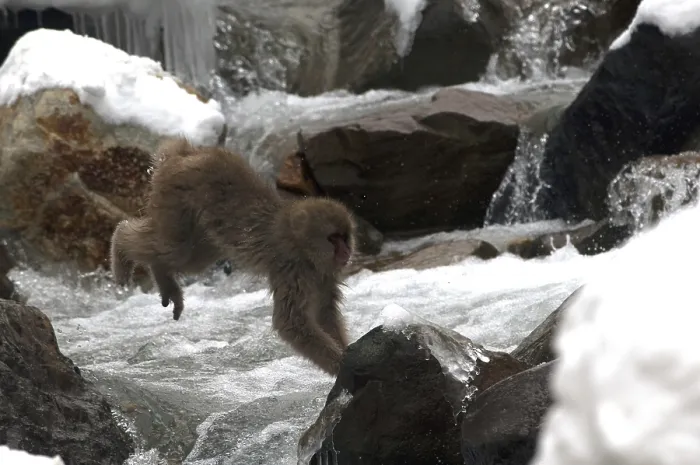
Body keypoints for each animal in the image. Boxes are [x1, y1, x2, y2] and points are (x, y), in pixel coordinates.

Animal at [110, 137, 355, 375]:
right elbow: (291, 323)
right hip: (175, 199)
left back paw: (162, 274)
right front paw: (341, 366)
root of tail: (185, 153)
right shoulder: (292, 270)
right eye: (333, 238)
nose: (346, 251)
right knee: (173, 249)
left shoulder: (323, 275)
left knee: (191, 258)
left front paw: (345, 353)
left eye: (344, 237)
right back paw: (120, 245)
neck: (303, 249)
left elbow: (324, 312)